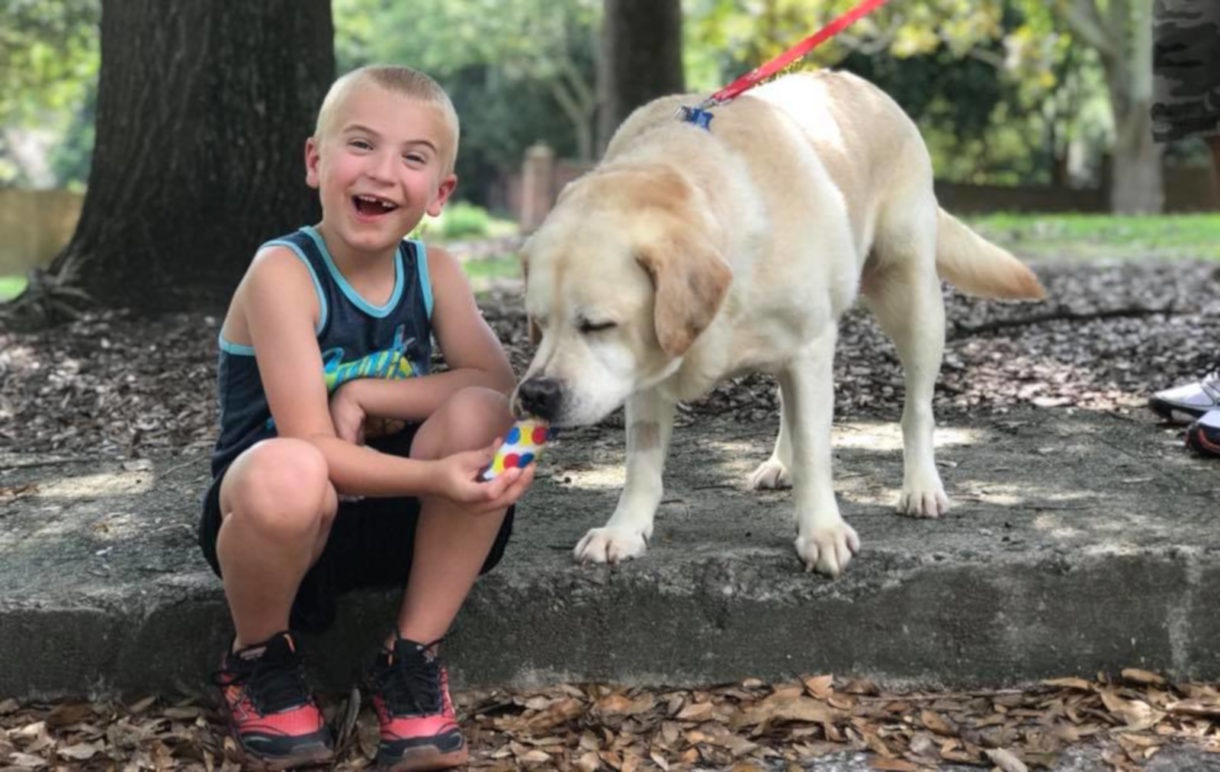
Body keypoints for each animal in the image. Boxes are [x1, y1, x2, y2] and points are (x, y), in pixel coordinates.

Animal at [512, 72, 1039, 575]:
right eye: (537, 322)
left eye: (598, 325)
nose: (534, 395)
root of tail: (862, 86)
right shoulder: (647, 371)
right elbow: (641, 463)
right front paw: (623, 531)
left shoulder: (808, 350)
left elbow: (815, 451)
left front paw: (822, 530)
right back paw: (780, 463)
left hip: (911, 301)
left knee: (917, 409)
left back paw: (922, 485)